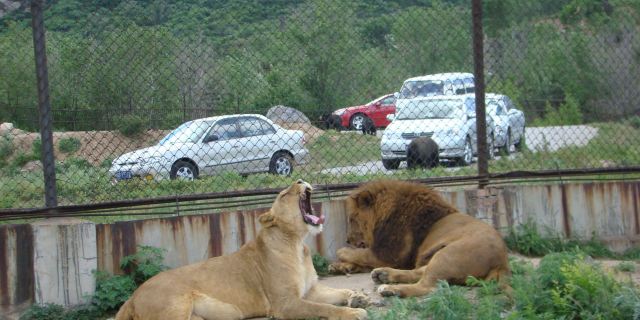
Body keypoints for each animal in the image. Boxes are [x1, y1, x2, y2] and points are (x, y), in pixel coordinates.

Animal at [114, 180, 364, 320]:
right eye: (284, 195)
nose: (301, 179)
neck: (296, 243)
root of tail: (133, 296)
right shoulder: (284, 304)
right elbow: (323, 308)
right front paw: (353, 313)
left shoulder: (309, 291)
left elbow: (336, 293)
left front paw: (357, 297)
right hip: (175, 309)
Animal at [330, 180, 510, 298]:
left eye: (352, 219)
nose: (348, 240)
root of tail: (502, 263)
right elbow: (359, 259)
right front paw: (340, 267)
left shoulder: (389, 255)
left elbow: (358, 254)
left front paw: (342, 253)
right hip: (437, 256)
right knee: (420, 272)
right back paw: (383, 275)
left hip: (448, 255)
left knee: (429, 287)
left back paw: (390, 289)